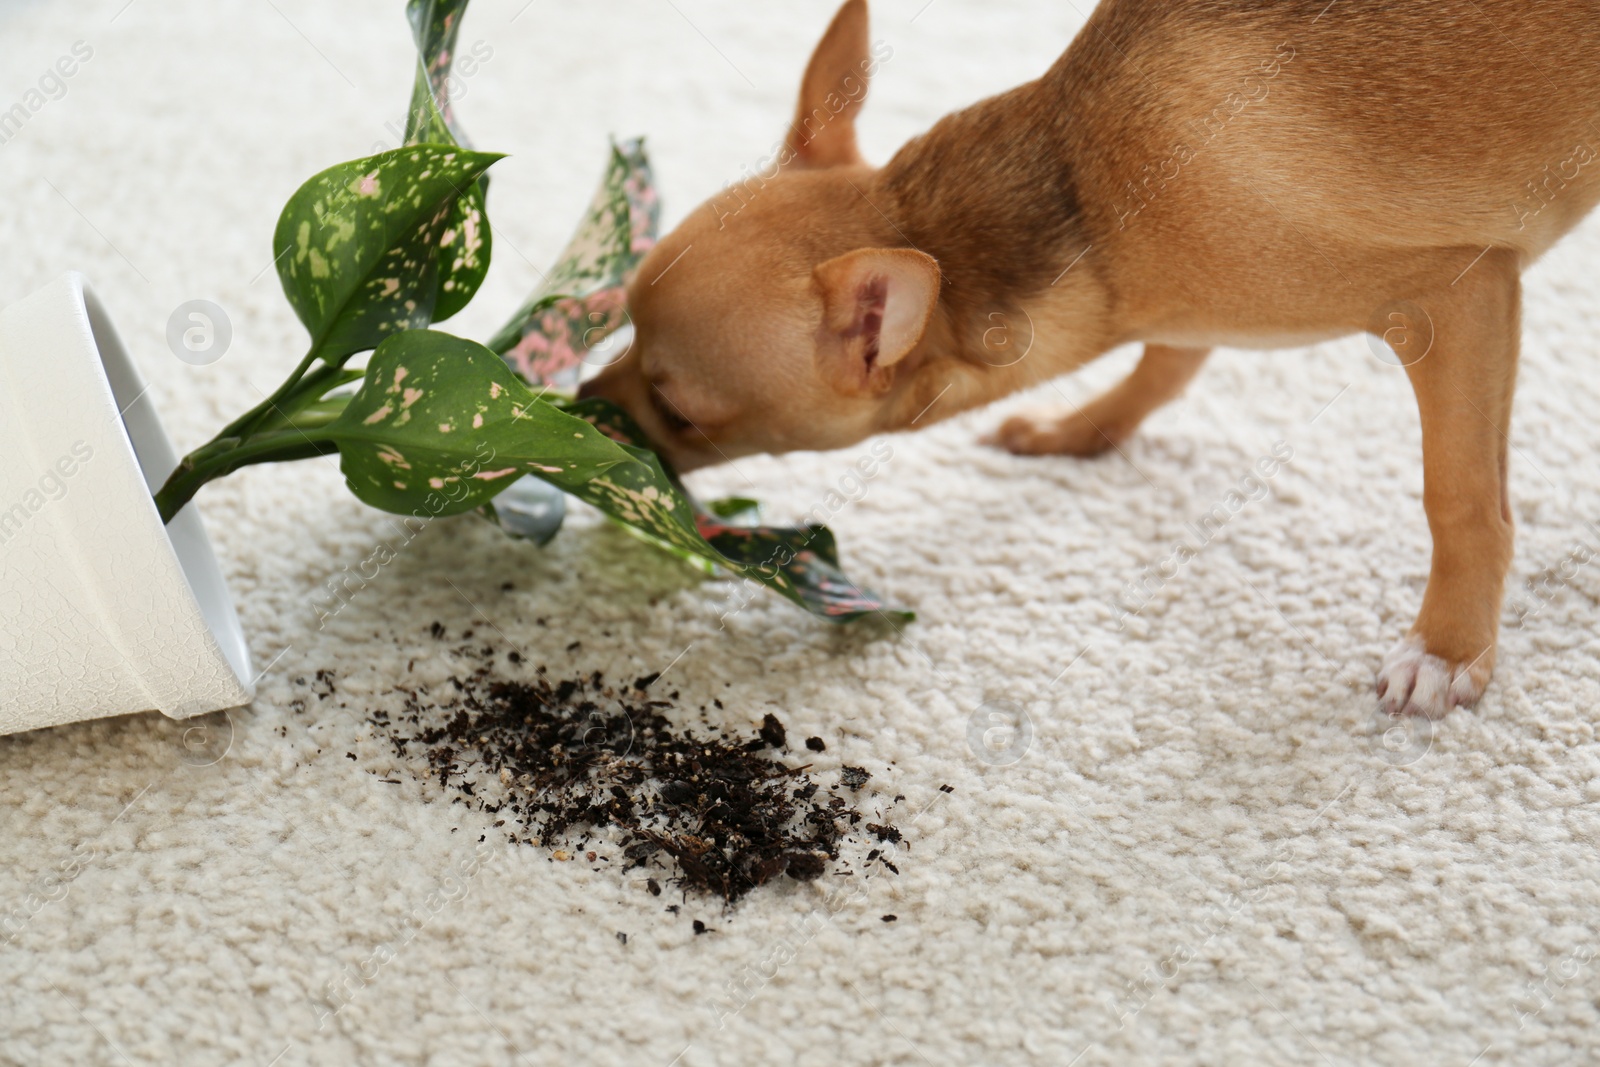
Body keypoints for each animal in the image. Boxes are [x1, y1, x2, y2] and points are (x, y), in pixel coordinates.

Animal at [585, 0, 1600, 723]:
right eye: (619, 329)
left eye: (681, 411)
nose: (584, 401)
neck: (1085, 191)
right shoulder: (1188, 306)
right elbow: (1165, 367)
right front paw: (1081, 431)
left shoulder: (1456, 298)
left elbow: (1461, 500)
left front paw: (1448, 649)